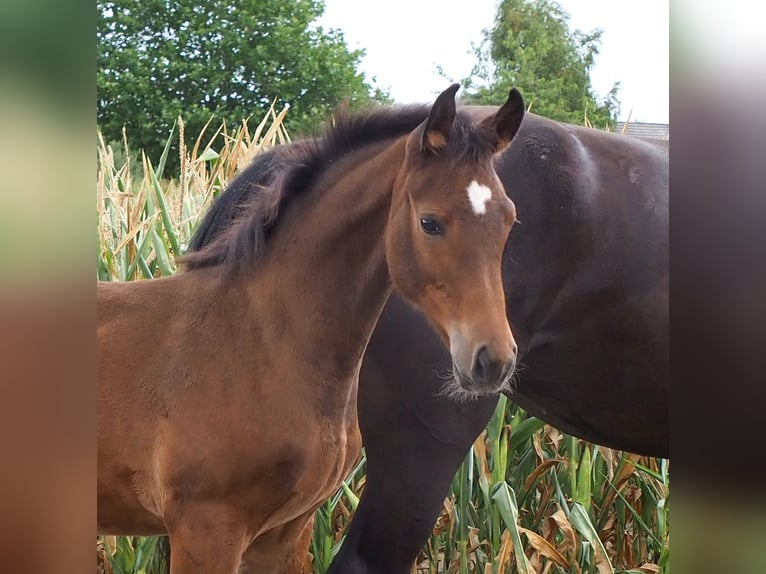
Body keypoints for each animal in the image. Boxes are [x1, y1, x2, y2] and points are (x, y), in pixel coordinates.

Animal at [96, 86, 528, 574]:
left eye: (509, 219)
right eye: (430, 222)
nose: (493, 359)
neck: (259, 342)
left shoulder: (285, 533)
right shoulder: (205, 529)